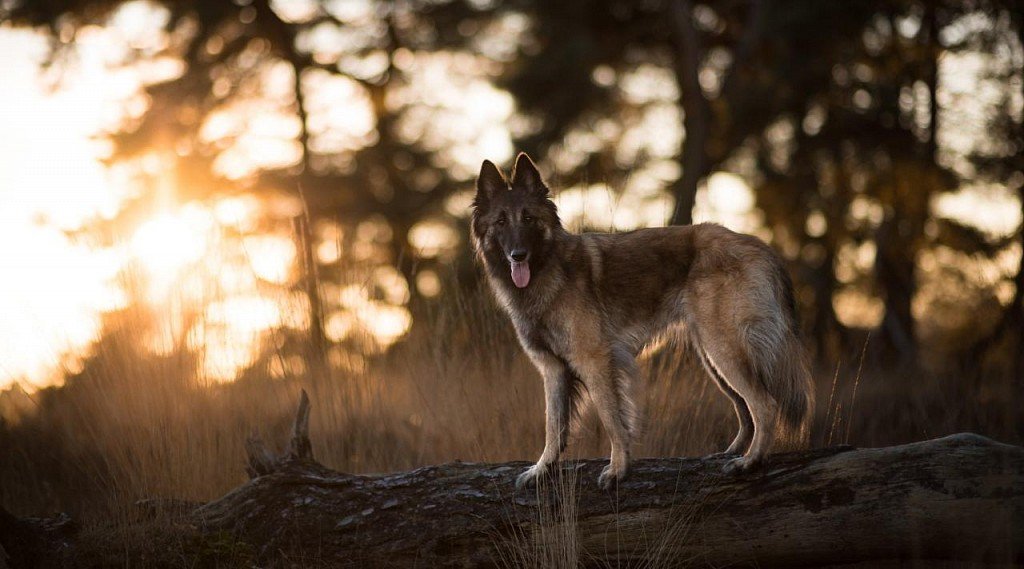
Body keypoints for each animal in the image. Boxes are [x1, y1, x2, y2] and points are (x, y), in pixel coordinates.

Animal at [471, 153, 815, 491]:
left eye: (529, 218)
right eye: (501, 222)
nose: (518, 255)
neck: (550, 269)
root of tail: (759, 245)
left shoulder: (595, 361)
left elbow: (611, 418)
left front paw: (618, 469)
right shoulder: (553, 369)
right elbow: (553, 426)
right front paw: (542, 470)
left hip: (723, 349)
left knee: (764, 405)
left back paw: (750, 461)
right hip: (712, 356)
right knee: (744, 408)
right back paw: (733, 452)